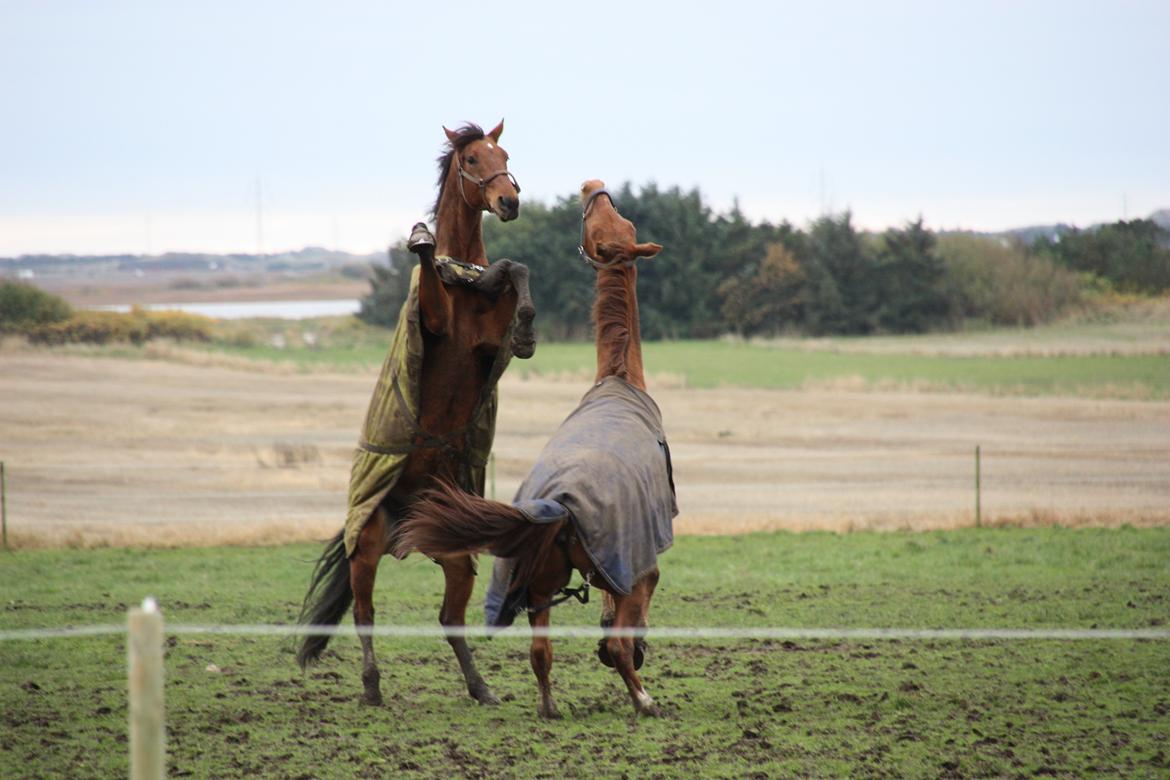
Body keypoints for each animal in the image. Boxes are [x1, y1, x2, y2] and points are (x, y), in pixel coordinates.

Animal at [301, 120, 538, 706]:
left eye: (504, 155)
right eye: (472, 159)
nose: (509, 200)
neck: (466, 284)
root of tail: (407, 525)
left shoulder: (489, 339)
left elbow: (514, 270)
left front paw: (525, 329)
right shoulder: (432, 318)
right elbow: (431, 270)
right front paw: (420, 239)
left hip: (455, 554)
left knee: (450, 620)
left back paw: (481, 688)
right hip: (365, 550)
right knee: (364, 613)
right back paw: (371, 687)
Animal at [393, 183, 673, 720]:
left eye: (617, 221)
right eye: (604, 224)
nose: (593, 187)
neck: (620, 378)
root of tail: (558, 504)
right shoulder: (639, 560)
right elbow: (632, 618)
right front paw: (633, 651)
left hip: (540, 586)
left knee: (540, 653)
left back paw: (549, 707)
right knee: (617, 647)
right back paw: (643, 699)